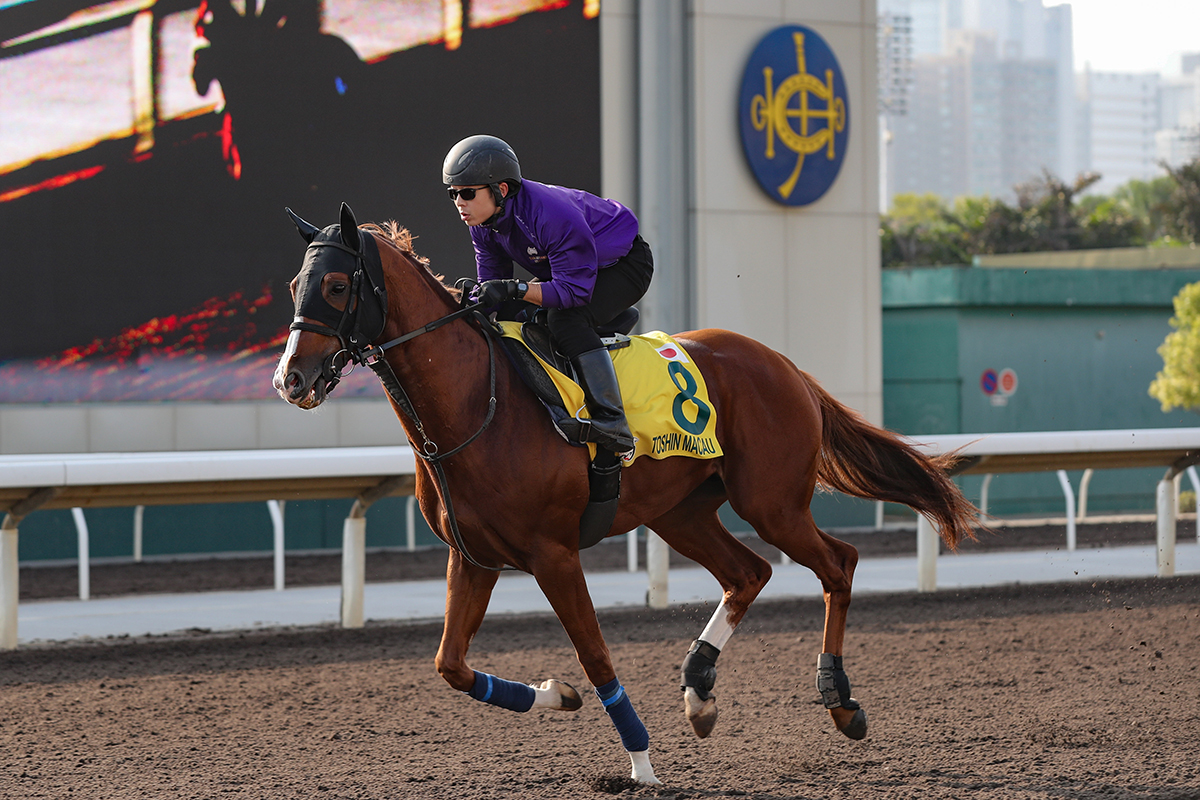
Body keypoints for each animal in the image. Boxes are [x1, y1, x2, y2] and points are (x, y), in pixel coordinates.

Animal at [272, 203, 974, 786]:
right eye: (294, 287)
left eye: (337, 287)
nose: (290, 379)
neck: (477, 405)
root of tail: (784, 365)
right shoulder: (473, 556)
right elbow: (451, 664)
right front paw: (557, 695)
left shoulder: (554, 554)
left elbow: (597, 656)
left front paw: (641, 766)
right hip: (678, 512)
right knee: (748, 572)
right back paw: (698, 690)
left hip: (770, 502)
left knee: (838, 564)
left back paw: (840, 701)